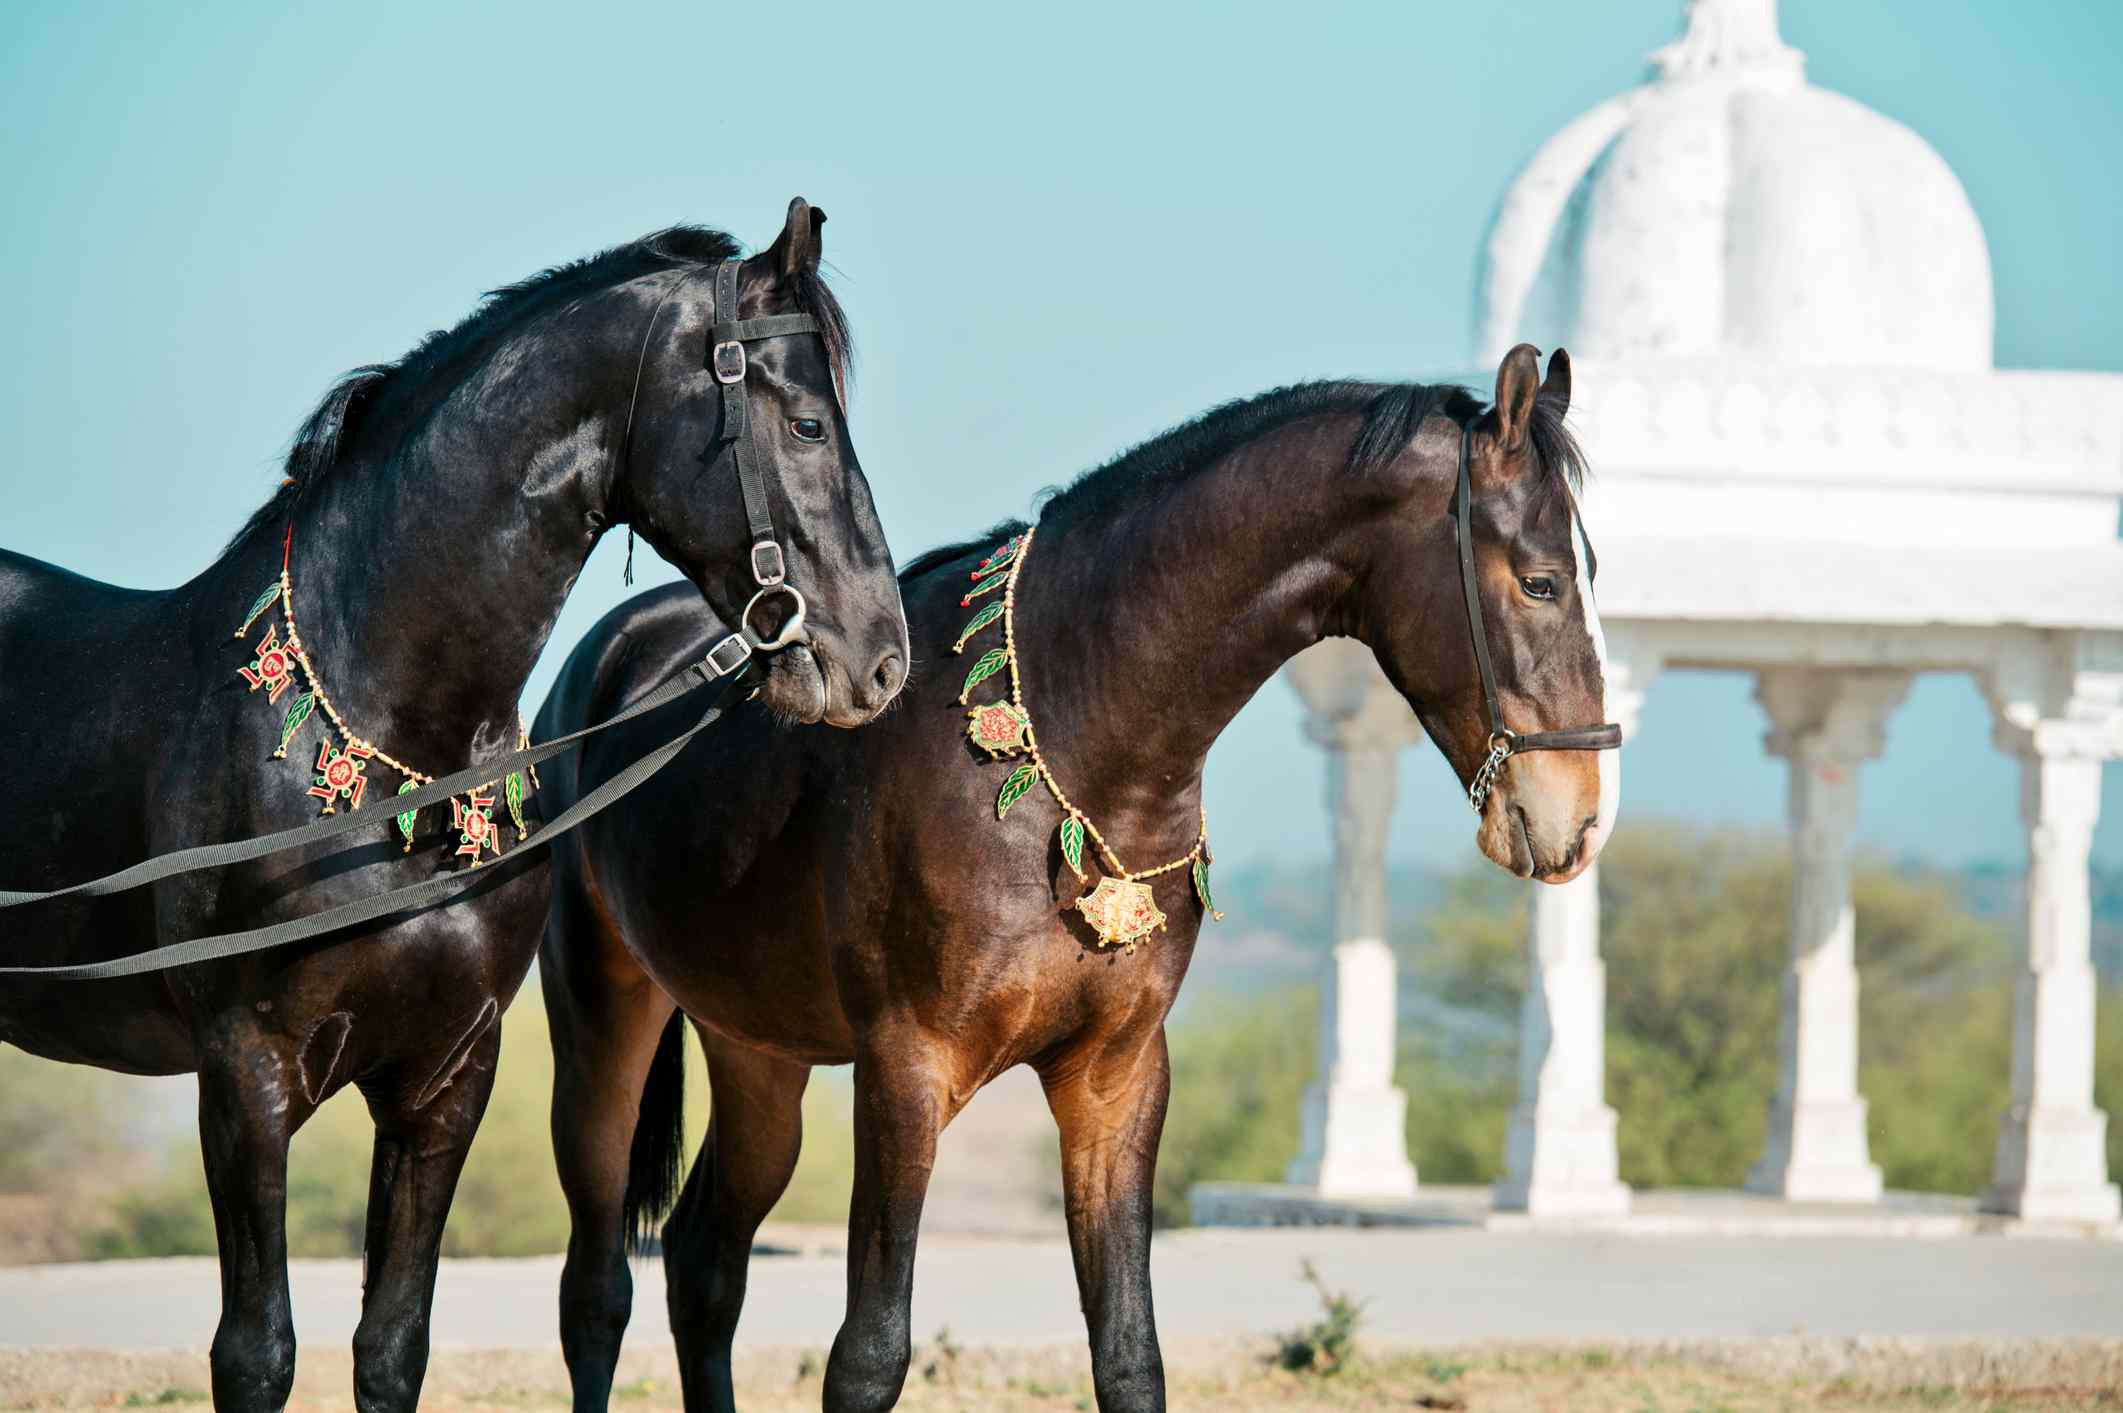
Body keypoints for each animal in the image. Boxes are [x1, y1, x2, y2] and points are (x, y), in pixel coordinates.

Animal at [0, 198, 904, 1408]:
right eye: (806, 424)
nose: (878, 661)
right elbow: (254, 1353)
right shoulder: (246, 1076)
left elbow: (392, 1346)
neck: (392, 771)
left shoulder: (443, 1080)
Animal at [539, 343, 1613, 1408]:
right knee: (597, 1288)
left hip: (757, 1049)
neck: (1077, 735)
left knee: (703, 1261)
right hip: (604, 1028)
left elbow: (1129, 1352)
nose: (1578, 819)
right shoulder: (905, 1070)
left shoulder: (1116, 1075)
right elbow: (870, 1354)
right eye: (1541, 581)